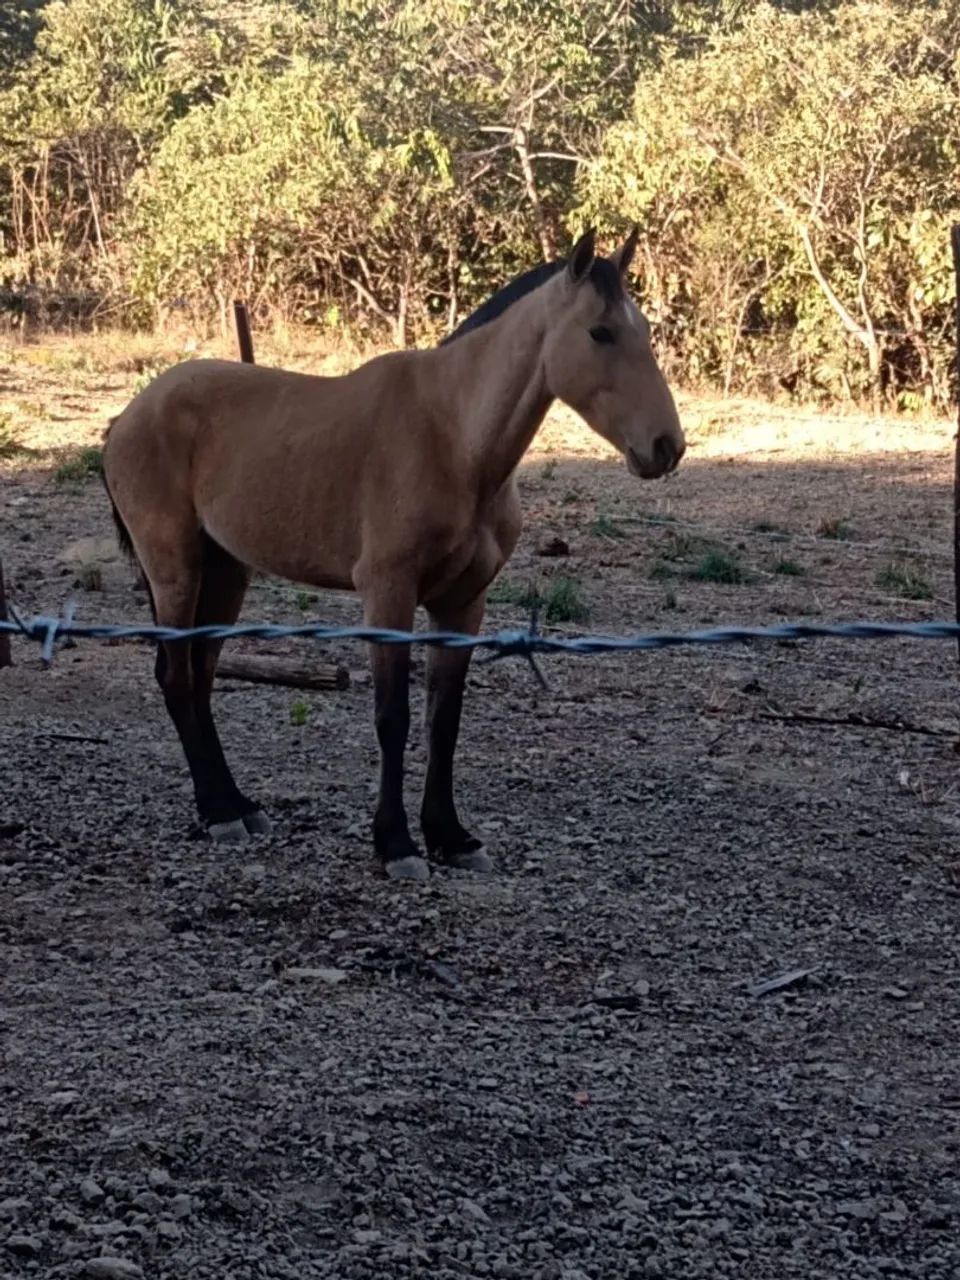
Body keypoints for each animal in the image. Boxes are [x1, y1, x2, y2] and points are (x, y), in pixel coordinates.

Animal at [102, 226, 685, 881]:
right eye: (600, 333)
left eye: (644, 331)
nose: (667, 446)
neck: (453, 440)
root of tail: (131, 413)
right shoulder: (388, 596)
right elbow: (393, 717)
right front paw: (397, 843)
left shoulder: (463, 604)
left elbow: (443, 718)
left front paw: (450, 836)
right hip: (175, 568)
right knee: (177, 677)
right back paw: (219, 813)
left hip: (226, 572)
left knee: (201, 677)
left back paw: (235, 806)